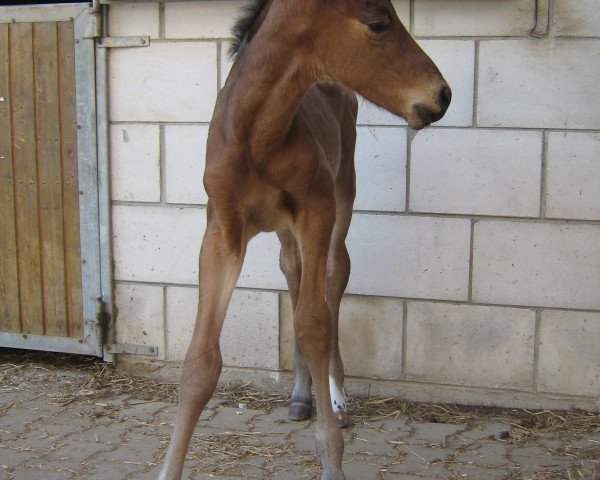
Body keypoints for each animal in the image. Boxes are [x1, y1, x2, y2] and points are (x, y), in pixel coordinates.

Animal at [159, 1, 450, 478]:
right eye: (379, 24)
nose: (442, 95)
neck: (256, 137)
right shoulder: (222, 230)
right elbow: (201, 357)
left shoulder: (317, 212)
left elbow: (314, 323)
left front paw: (332, 457)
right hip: (282, 228)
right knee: (292, 274)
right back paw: (301, 395)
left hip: (342, 195)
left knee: (332, 279)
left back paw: (336, 396)